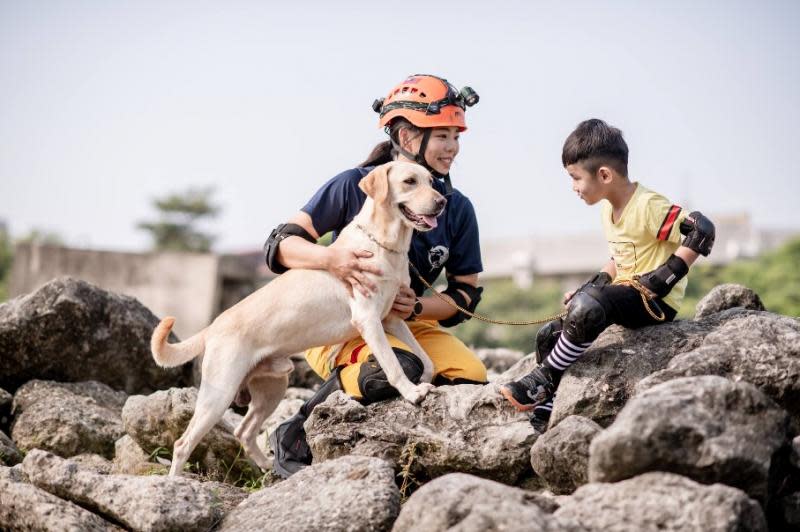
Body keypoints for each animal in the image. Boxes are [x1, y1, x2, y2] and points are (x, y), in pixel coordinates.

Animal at [152, 160, 444, 476]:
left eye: (431, 181)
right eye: (409, 181)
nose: (442, 202)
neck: (384, 244)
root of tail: (214, 325)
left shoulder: (392, 319)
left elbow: (426, 359)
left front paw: (426, 380)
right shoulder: (369, 320)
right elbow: (393, 364)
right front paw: (411, 393)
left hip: (271, 388)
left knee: (244, 430)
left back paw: (268, 465)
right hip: (218, 394)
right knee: (183, 443)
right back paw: (175, 481)